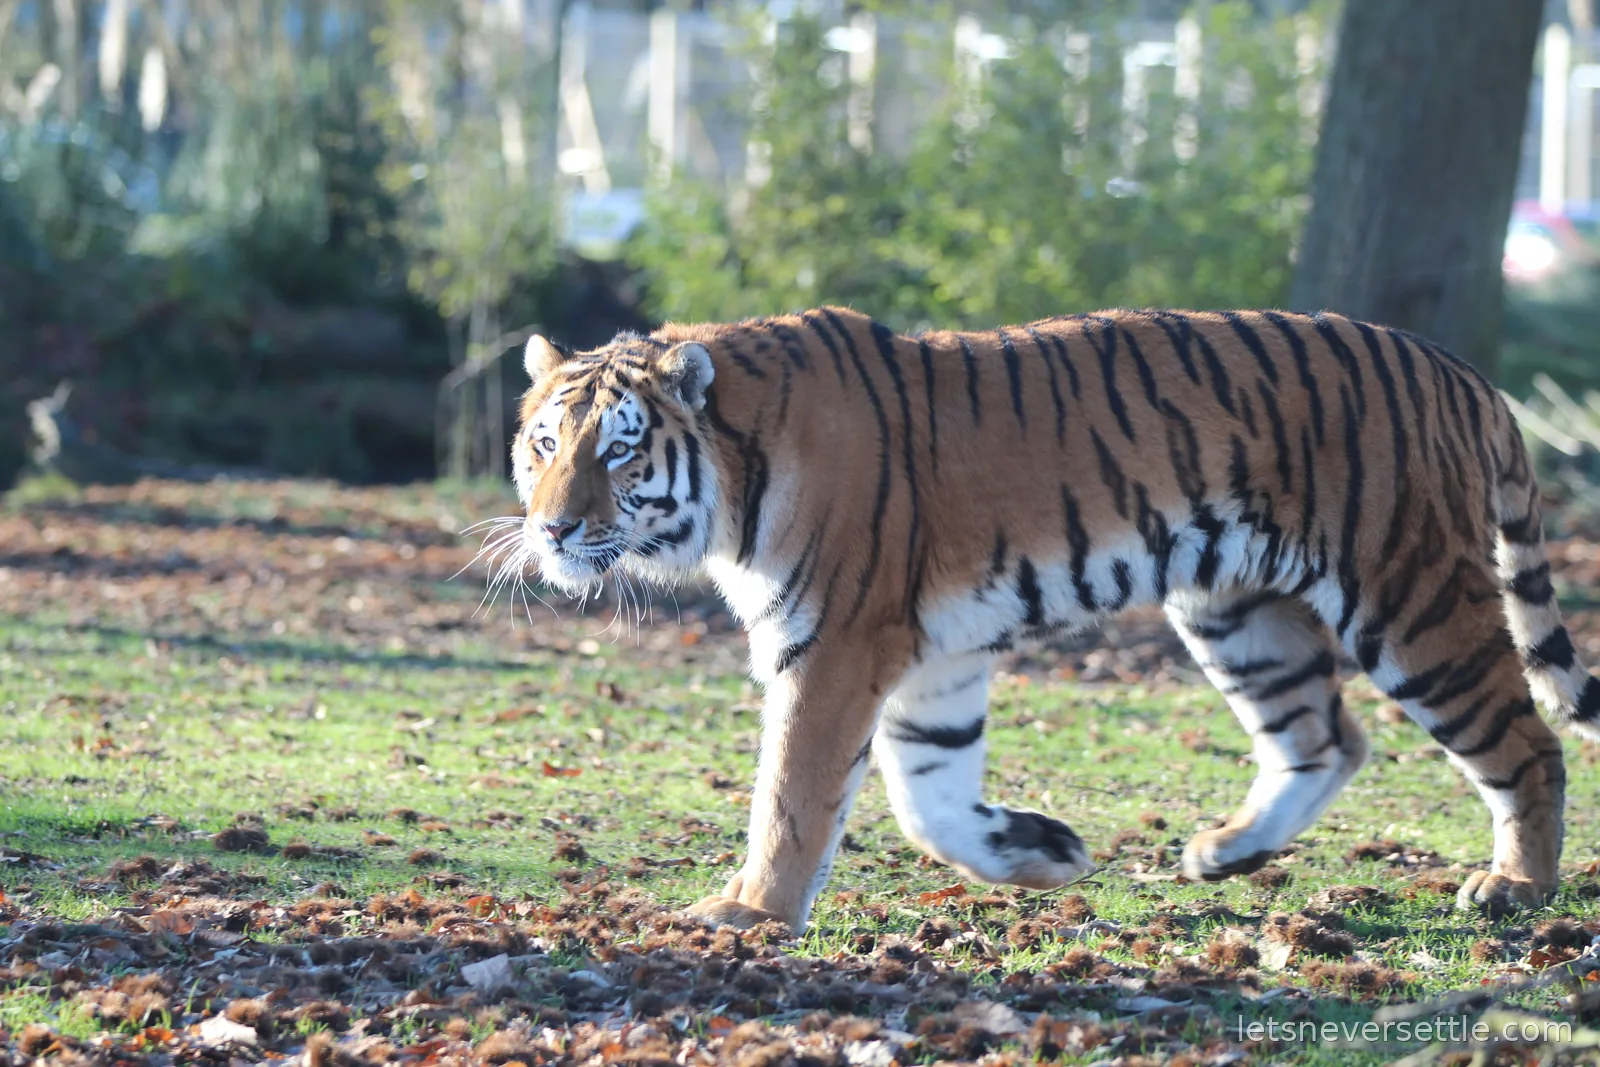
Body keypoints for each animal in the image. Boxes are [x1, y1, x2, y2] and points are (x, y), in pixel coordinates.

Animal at [509, 305, 1600, 932]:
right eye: (545, 442)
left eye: (618, 449)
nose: (552, 527)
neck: (730, 482)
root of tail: (1463, 373)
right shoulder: (930, 657)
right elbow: (930, 797)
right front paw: (1041, 853)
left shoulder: (832, 645)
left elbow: (791, 795)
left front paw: (744, 914)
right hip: (1233, 607)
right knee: (1325, 735)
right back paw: (1228, 851)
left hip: (1411, 598)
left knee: (1529, 742)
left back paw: (1516, 886)